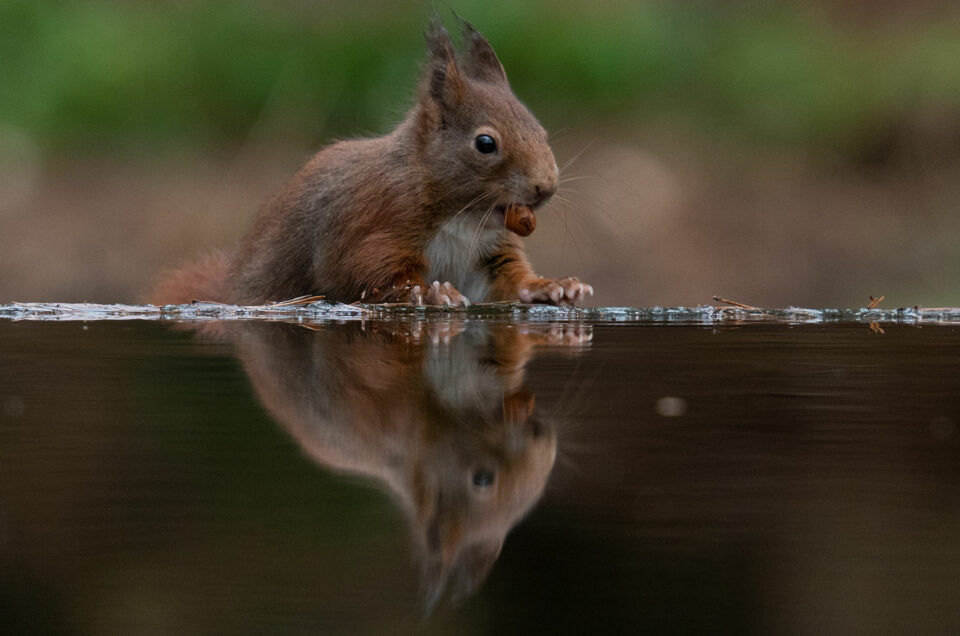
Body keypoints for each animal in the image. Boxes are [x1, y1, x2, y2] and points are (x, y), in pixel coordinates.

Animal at [148, 18, 592, 306]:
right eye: (485, 143)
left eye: (541, 131)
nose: (546, 187)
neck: (462, 216)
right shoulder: (373, 227)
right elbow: (364, 274)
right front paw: (430, 292)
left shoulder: (488, 250)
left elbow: (507, 277)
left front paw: (553, 286)